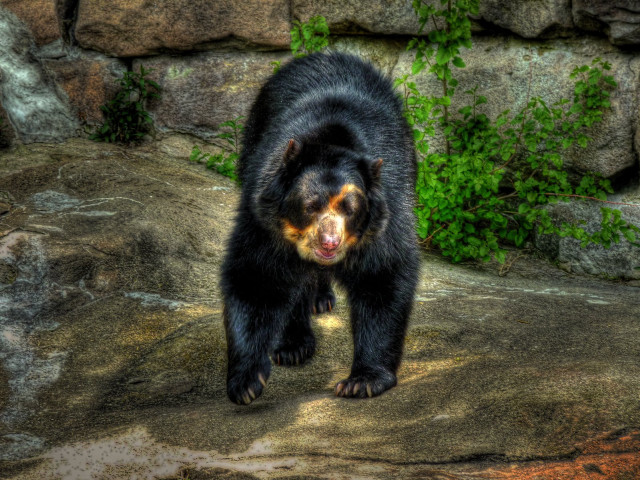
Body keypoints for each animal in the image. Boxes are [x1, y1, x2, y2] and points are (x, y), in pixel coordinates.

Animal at [221, 52, 419, 405]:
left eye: (350, 209)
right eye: (310, 205)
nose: (329, 242)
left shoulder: (388, 209)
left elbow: (383, 275)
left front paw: (362, 381)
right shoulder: (264, 218)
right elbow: (257, 276)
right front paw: (246, 381)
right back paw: (294, 344)